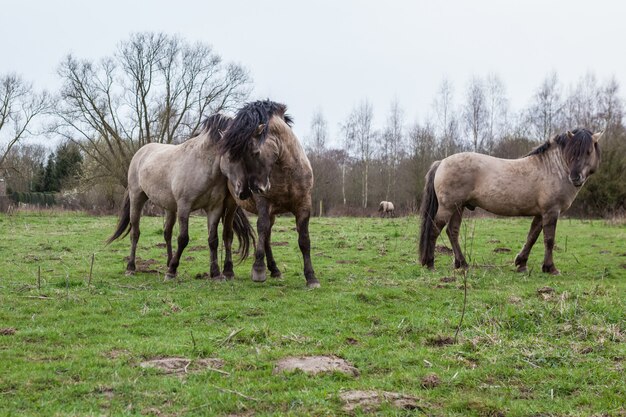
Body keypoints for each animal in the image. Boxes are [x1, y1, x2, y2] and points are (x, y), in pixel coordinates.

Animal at [107, 113, 254, 280]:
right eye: (230, 156)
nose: (244, 191)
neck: (202, 165)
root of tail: (141, 151)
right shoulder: (184, 206)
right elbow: (183, 238)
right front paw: (172, 271)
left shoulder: (214, 208)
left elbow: (213, 240)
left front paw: (216, 273)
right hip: (137, 198)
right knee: (135, 233)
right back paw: (131, 267)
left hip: (169, 207)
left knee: (167, 233)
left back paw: (168, 262)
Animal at [217, 99, 320, 288]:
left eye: (254, 152)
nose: (252, 189)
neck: (286, 171)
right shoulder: (264, 203)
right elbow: (261, 228)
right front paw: (258, 269)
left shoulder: (304, 205)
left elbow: (304, 240)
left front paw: (311, 277)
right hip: (230, 204)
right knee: (228, 234)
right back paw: (228, 271)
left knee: (267, 238)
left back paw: (275, 269)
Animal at [416, 128, 604, 274]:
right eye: (572, 152)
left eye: (588, 151)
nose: (575, 177)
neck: (552, 168)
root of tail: (441, 162)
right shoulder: (551, 211)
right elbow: (549, 240)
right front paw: (550, 268)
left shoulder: (540, 213)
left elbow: (532, 236)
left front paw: (521, 263)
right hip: (448, 207)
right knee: (434, 230)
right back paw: (430, 263)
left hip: (458, 207)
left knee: (452, 232)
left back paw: (462, 264)